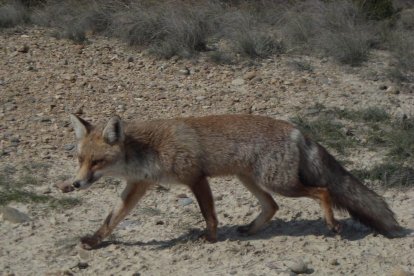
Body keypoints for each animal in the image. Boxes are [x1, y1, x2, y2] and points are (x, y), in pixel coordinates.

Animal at [70, 113, 404, 249]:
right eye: (80, 160)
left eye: (96, 162)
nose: (74, 185)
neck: (148, 149)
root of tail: (297, 130)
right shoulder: (137, 186)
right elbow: (111, 219)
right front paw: (94, 241)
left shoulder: (196, 177)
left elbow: (209, 214)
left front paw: (210, 238)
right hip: (251, 180)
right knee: (272, 207)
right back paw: (252, 229)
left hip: (280, 183)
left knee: (322, 190)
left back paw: (332, 224)